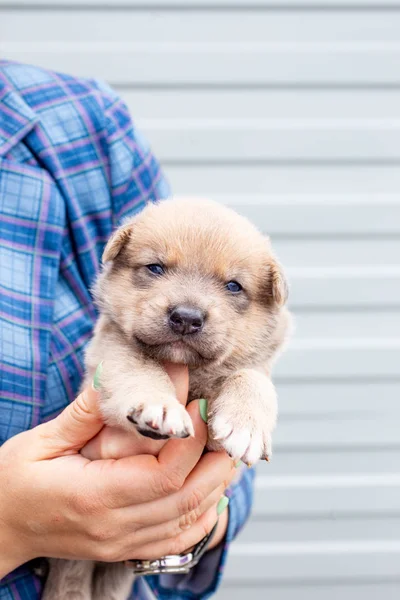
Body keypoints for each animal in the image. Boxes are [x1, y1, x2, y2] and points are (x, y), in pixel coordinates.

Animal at [43, 198, 290, 600]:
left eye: (234, 286)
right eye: (155, 267)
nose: (186, 317)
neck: (187, 368)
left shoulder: (248, 378)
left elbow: (252, 378)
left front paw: (246, 426)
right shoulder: (111, 352)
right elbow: (139, 367)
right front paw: (157, 407)